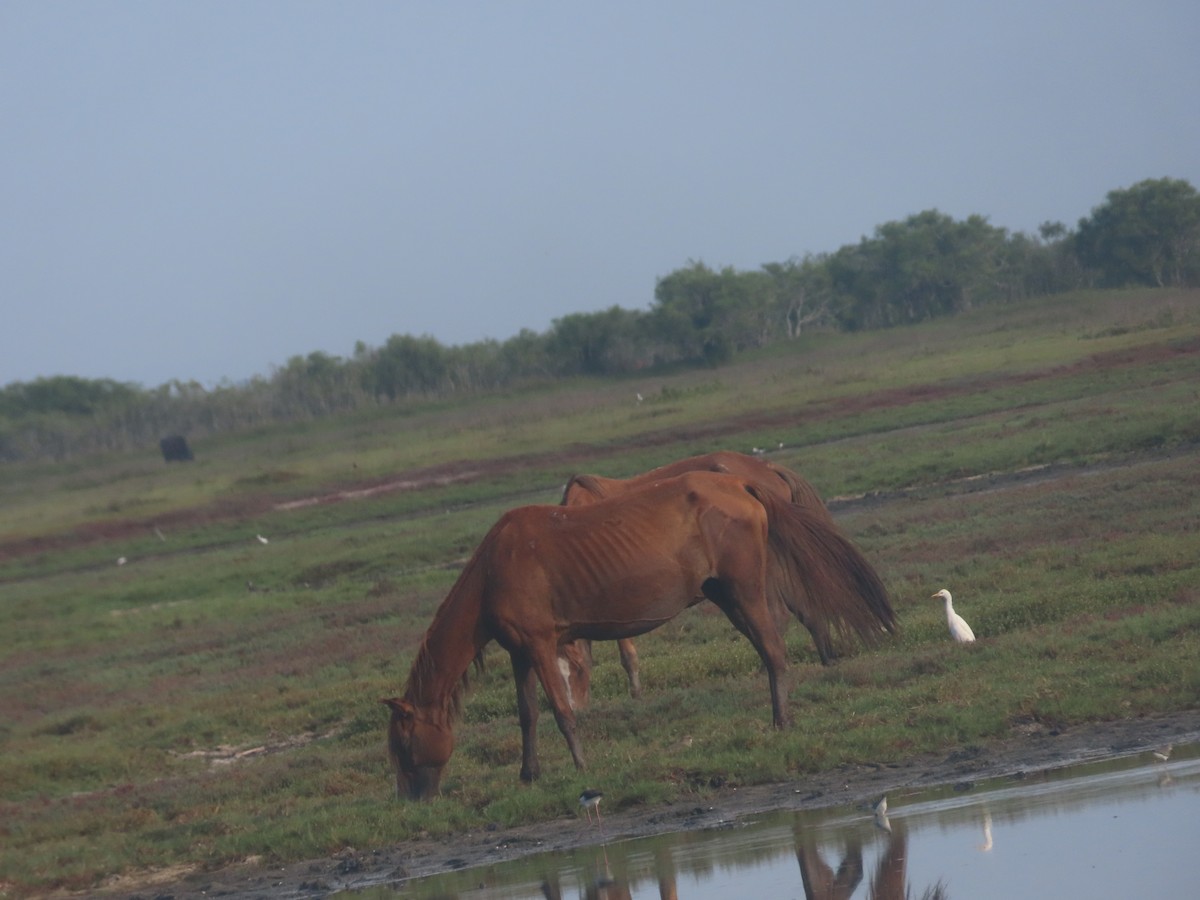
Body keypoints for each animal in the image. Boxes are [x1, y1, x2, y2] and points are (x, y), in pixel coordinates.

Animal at [559, 451, 854, 705]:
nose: (575, 708)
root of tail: (768, 468)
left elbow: (625, 653)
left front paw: (636, 693)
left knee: (780, 614)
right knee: (804, 607)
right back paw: (826, 657)